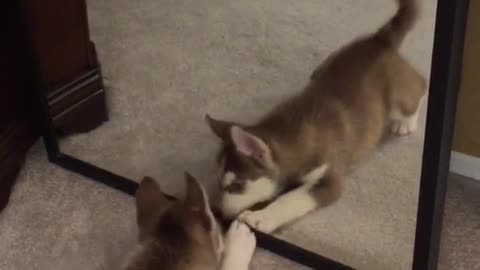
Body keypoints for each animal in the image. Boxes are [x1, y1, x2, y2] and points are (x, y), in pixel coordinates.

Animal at [205, 0, 424, 233]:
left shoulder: (328, 178)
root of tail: (378, 40)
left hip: (397, 92)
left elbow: (289, 199)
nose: (218, 214)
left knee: (419, 86)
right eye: (218, 181)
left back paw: (406, 122)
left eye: (236, 185)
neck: (289, 134)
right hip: (327, 63)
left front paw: (260, 217)